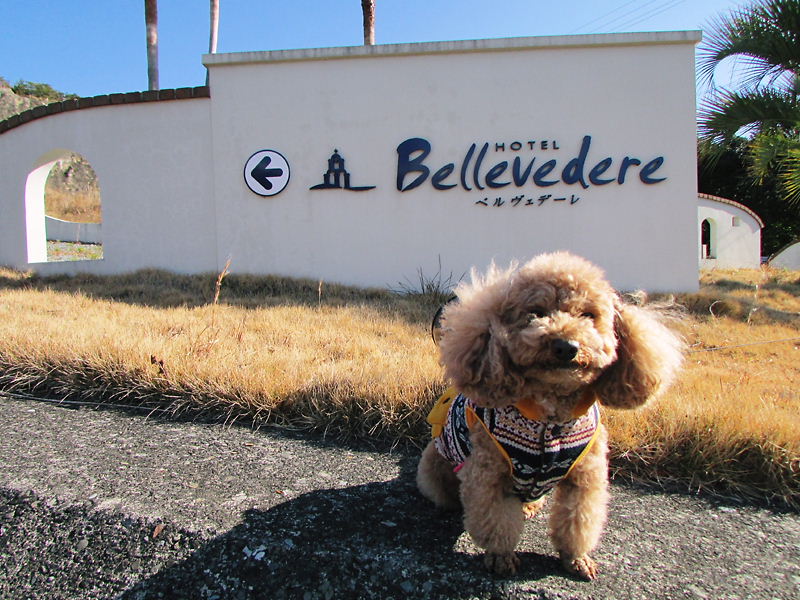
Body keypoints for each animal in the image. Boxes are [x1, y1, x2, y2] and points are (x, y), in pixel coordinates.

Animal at [416, 251, 684, 580]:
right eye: (536, 313)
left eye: (589, 315)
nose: (566, 346)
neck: (550, 415)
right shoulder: (488, 475)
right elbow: (496, 522)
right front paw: (501, 557)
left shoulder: (586, 478)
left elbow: (578, 521)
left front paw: (577, 559)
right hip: (436, 468)